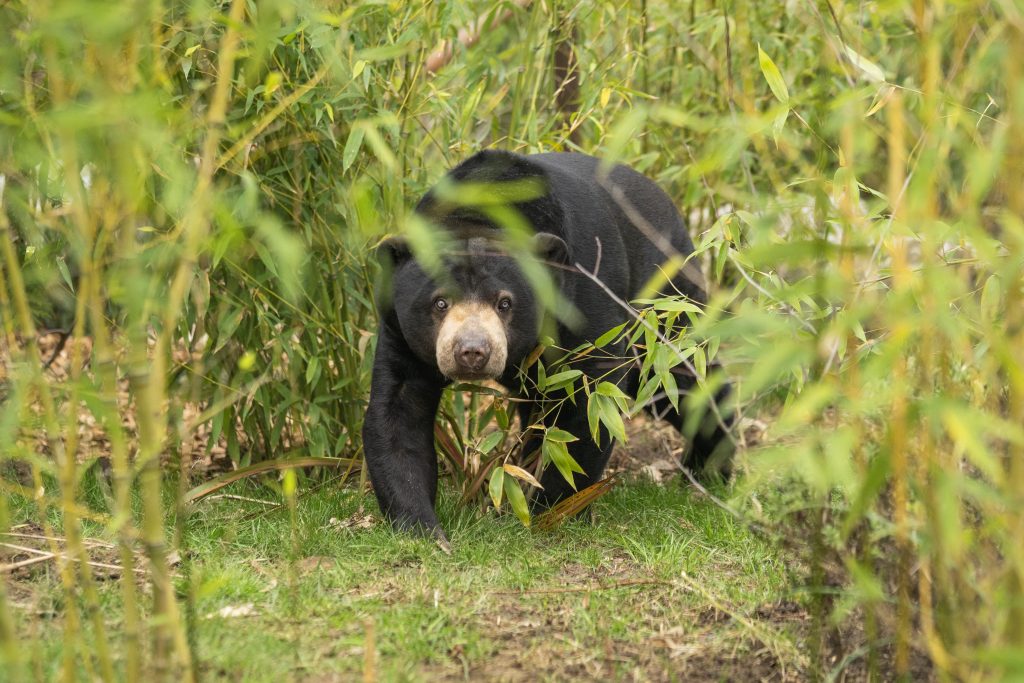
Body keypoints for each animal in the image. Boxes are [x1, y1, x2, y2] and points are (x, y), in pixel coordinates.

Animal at [364, 149, 733, 540]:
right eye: (439, 302)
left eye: (504, 303)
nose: (472, 352)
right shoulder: (399, 330)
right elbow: (398, 412)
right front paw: (422, 527)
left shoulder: (581, 302)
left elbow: (587, 405)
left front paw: (552, 512)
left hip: (663, 298)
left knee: (680, 379)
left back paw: (708, 470)